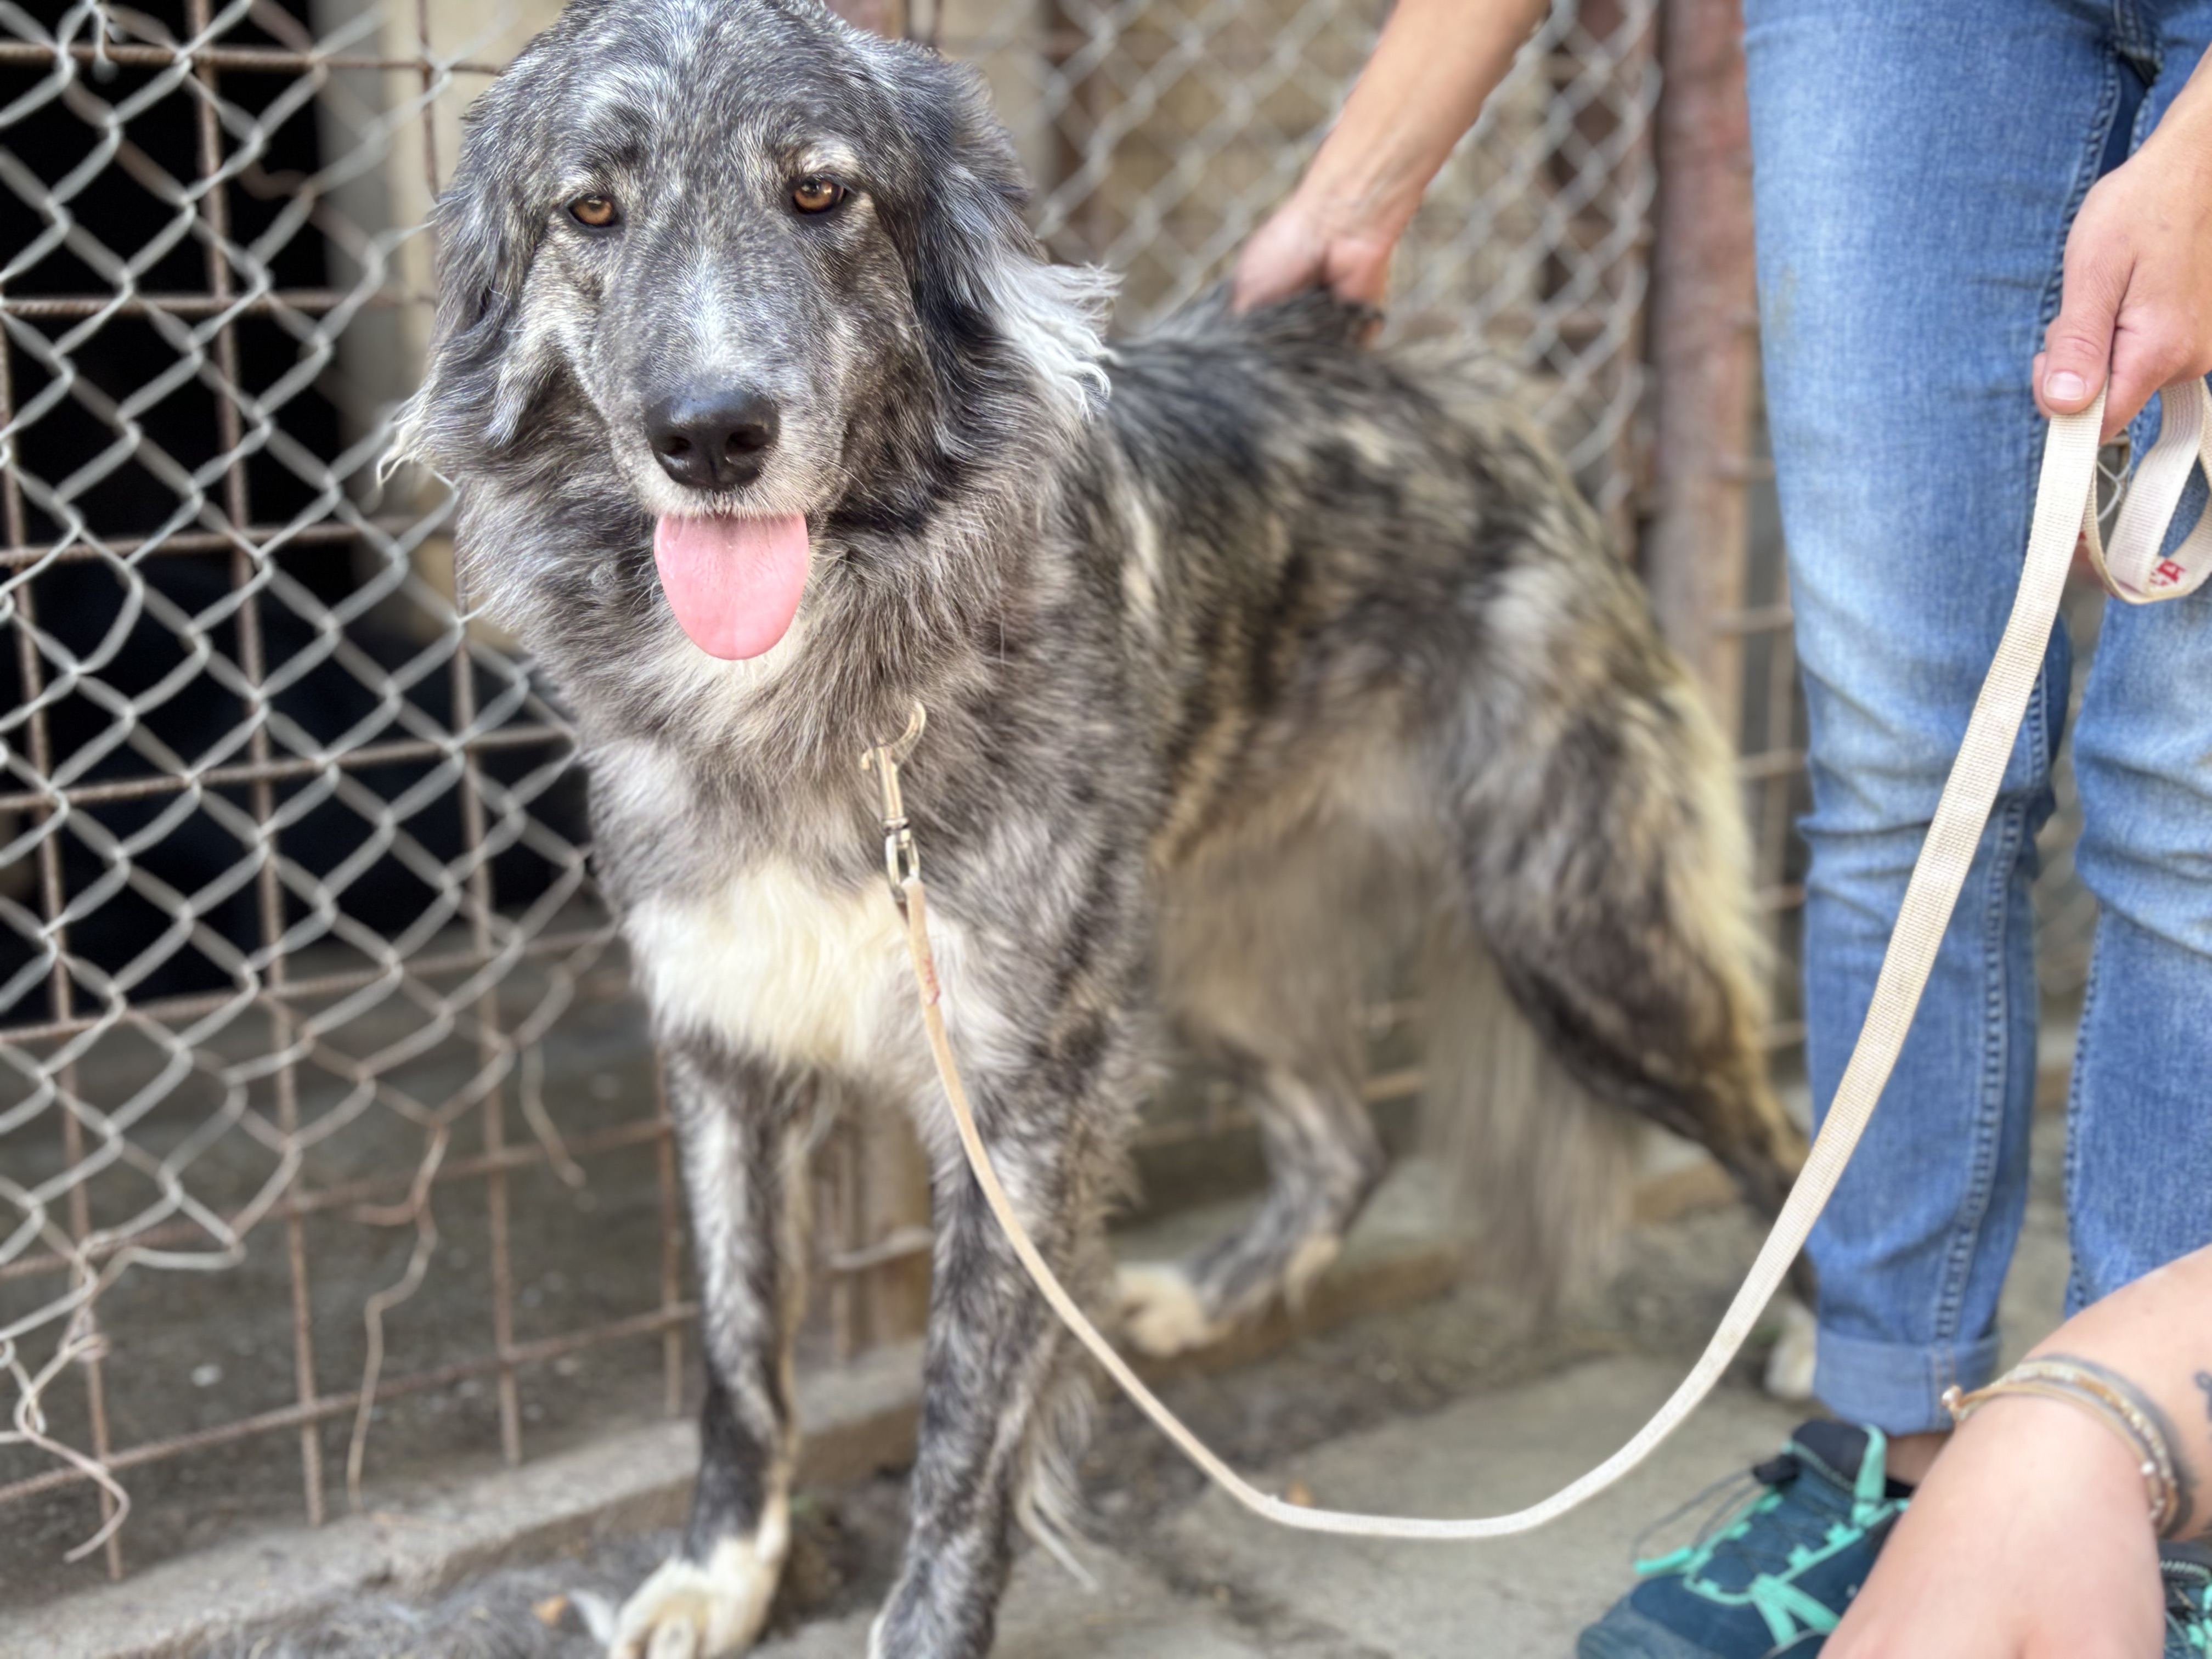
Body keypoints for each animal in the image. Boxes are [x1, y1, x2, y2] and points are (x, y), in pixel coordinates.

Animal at [399, 2, 1805, 1652]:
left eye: (820, 195)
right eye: (590, 212)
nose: (712, 435)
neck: (817, 687)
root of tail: (1492, 415)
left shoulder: (1023, 1087)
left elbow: (965, 1428)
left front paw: (920, 1626)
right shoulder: (724, 1044)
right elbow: (739, 1358)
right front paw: (722, 1570)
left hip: (1584, 943)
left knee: (1778, 1122)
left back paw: (1814, 1344)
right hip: (1197, 962)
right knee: (1340, 1144)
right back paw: (1205, 1297)